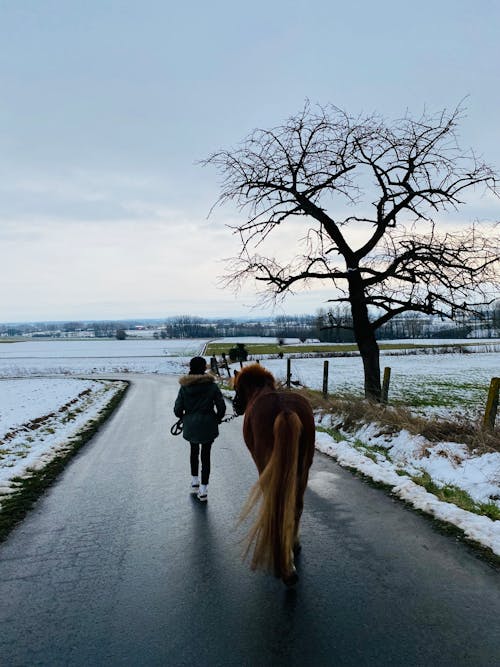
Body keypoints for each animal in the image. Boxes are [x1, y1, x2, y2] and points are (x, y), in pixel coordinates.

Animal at [232, 362, 314, 588]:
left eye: (236, 388)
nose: (235, 406)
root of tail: (285, 411)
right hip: (303, 470)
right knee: (296, 506)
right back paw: (293, 547)